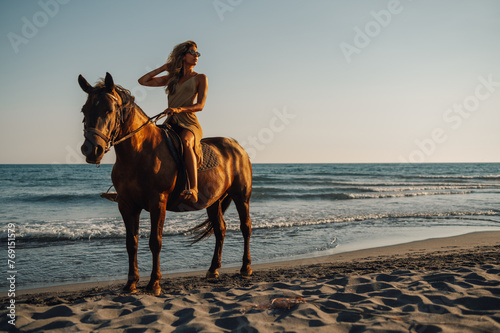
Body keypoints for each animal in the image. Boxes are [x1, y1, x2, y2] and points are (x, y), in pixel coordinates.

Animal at [78, 72, 254, 294]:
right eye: (84, 110)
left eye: (108, 110)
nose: (91, 150)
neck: (140, 152)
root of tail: (237, 147)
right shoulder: (126, 205)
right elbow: (131, 243)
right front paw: (131, 283)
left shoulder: (157, 202)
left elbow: (155, 241)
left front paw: (154, 283)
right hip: (214, 201)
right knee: (220, 229)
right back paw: (213, 269)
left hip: (242, 196)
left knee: (245, 227)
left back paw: (246, 267)